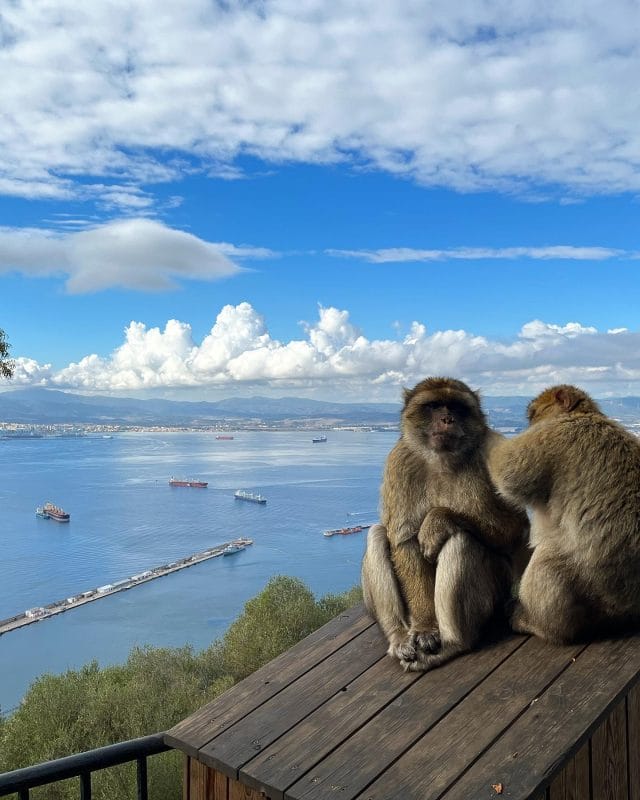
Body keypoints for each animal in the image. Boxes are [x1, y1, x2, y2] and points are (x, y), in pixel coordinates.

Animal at [361, 377, 530, 671]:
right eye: (434, 406)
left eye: (456, 407)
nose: (447, 419)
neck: (441, 459)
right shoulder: (399, 462)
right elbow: (404, 541)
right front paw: (426, 626)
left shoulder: (493, 448)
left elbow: (515, 528)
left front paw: (438, 520)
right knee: (378, 535)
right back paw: (399, 636)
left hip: (492, 596)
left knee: (462, 539)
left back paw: (454, 643)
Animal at [488, 384, 640, 644]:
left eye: (533, 414)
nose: (528, 427)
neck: (583, 414)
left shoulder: (552, 436)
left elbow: (506, 472)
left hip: (594, 586)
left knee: (548, 559)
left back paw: (533, 621)